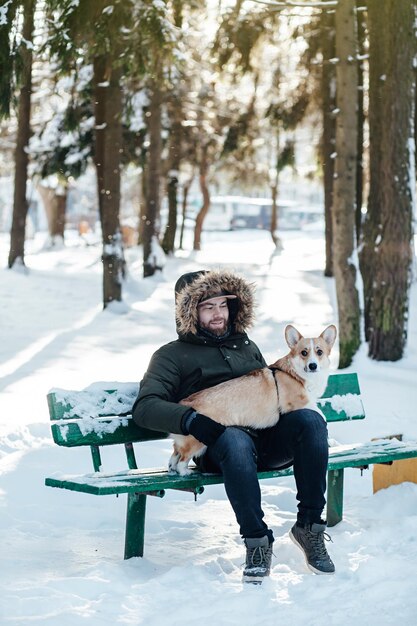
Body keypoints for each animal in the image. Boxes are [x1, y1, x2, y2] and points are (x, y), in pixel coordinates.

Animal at [167, 324, 336, 476]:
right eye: (304, 352)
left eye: (319, 352)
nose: (313, 365)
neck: (295, 374)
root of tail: (185, 403)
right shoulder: (297, 402)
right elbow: (320, 414)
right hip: (199, 440)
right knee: (182, 458)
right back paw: (185, 472)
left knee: (175, 453)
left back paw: (171, 468)